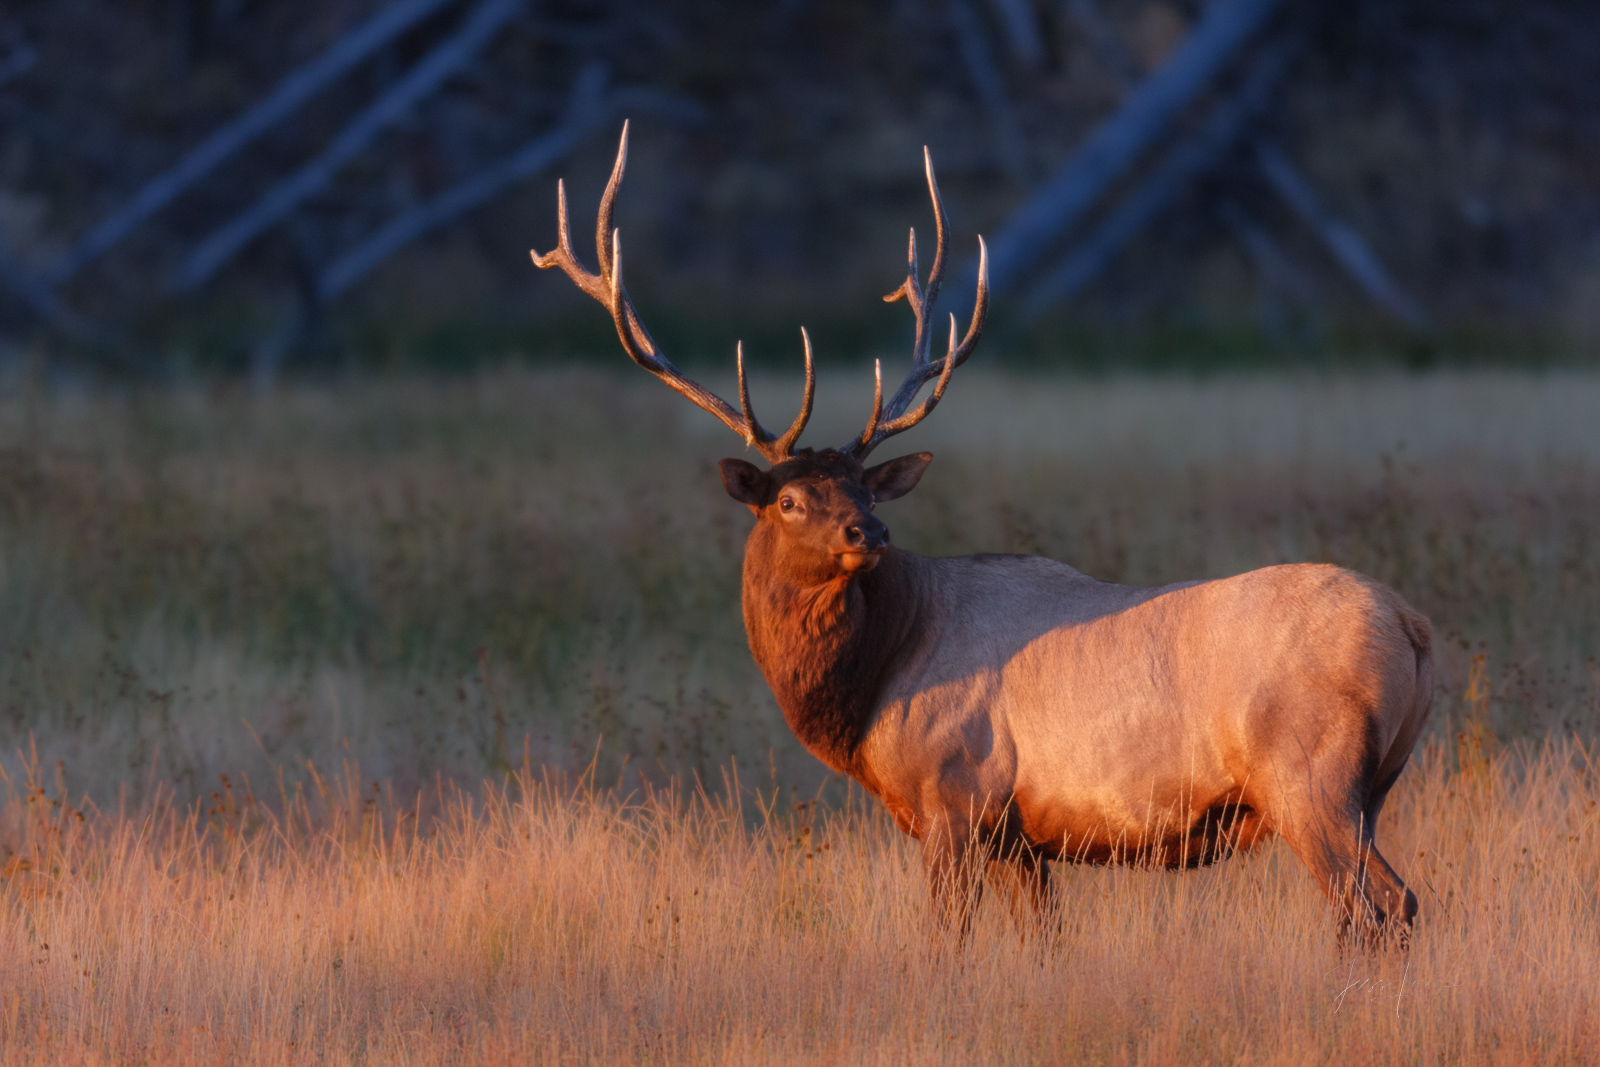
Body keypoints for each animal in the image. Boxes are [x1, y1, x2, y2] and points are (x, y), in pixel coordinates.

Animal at [531, 123, 1433, 940]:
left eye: (860, 482)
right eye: (790, 500)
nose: (868, 531)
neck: (872, 687)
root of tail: (1412, 625)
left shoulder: (954, 798)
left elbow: (946, 943)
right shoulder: (1020, 837)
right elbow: (1043, 941)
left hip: (1309, 776)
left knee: (1380, 906)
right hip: (1373, 787)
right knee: (1398, 901)